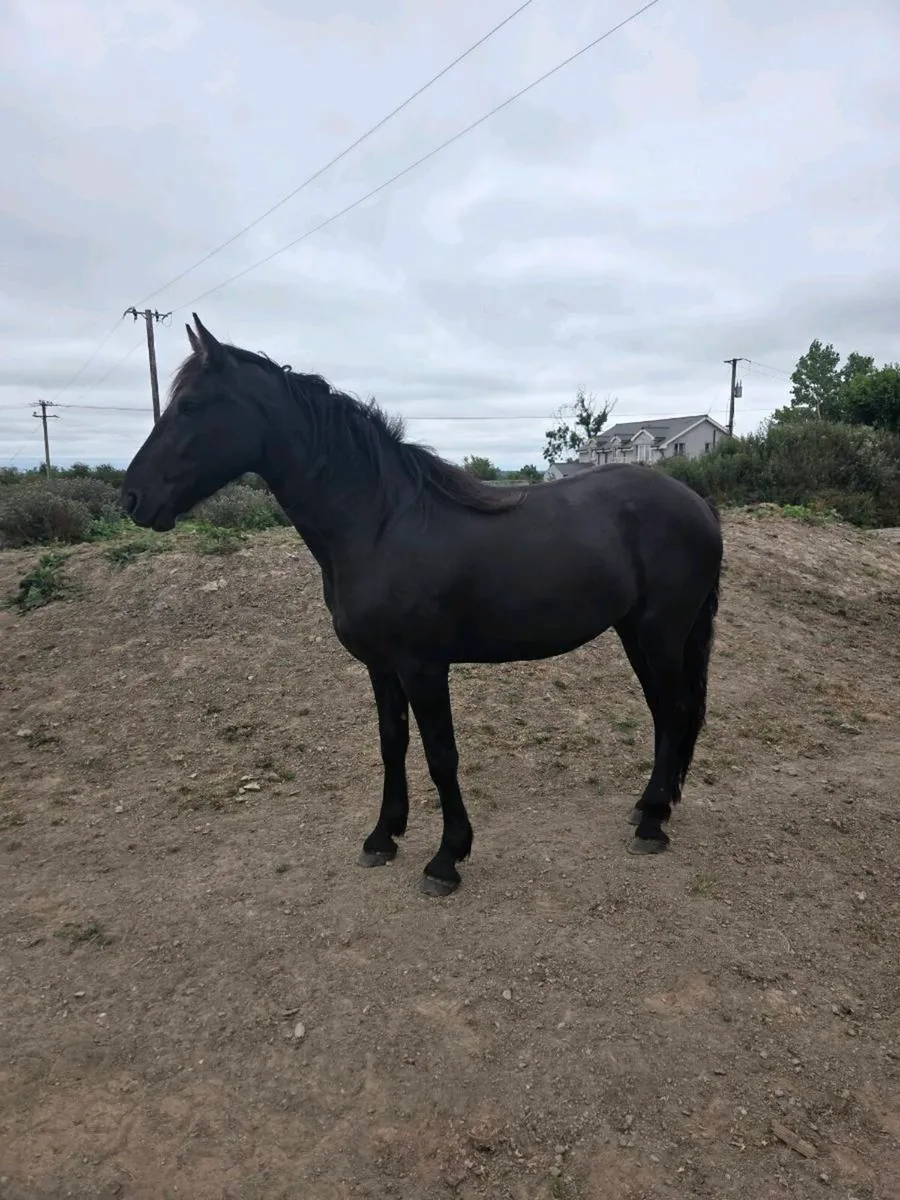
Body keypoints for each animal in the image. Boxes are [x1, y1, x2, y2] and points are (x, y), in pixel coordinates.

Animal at [122, 314, 724, 897]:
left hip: (660, 632)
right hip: (635, 632)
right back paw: (649, 808)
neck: (380, 522)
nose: (132, 497)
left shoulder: (424, 667)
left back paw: (653, 823)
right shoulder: (381, 666)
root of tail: (697, 504)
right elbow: (393, 744)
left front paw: (446, 858)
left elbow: (441, 755)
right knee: (664, 711)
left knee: (674, 710)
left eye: (190, 406)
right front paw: (382, 836)